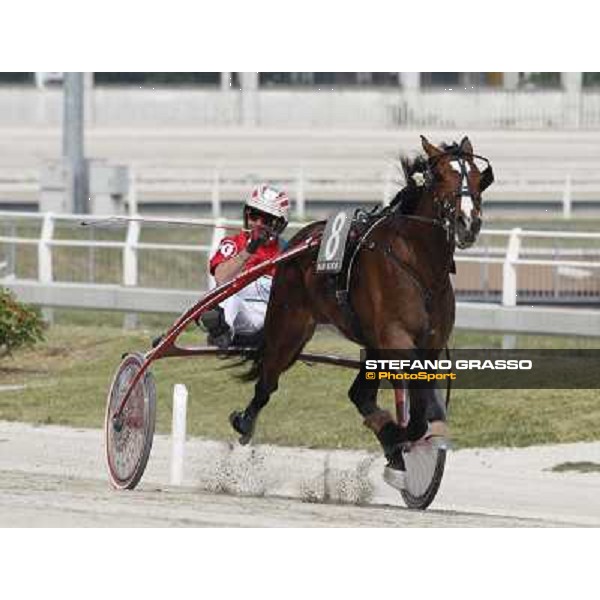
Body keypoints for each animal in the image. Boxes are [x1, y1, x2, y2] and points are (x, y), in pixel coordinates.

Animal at [227, 135, 494, 488]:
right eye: (440, 177)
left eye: (478, 176)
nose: (467, 223)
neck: (417, 263)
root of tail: (301, 239)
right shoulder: (396, 340)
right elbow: (413, 419)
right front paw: (398, 437)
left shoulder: (428, 346)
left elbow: (419, 413)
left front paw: (401, 444)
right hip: (290, 327)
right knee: (268, 379)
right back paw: (245, 422)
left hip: (368, 343)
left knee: (359, 395)